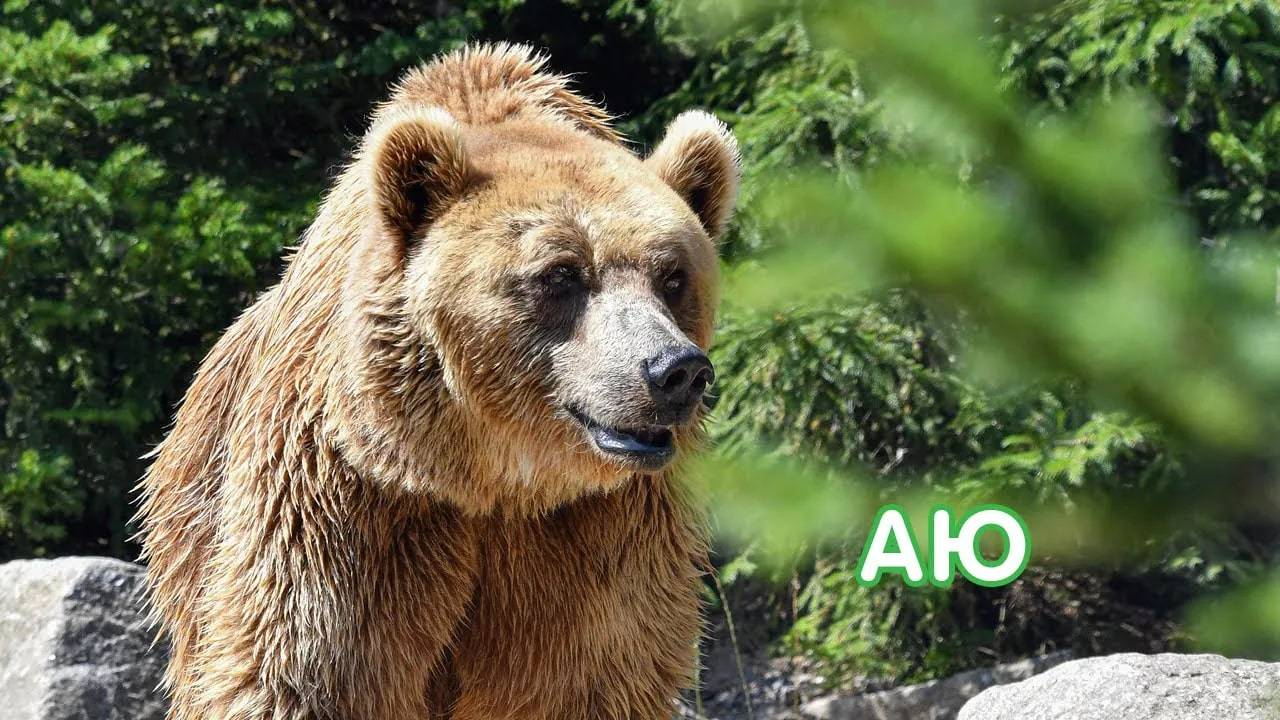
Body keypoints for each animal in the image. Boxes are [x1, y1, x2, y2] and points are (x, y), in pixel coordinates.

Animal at [136, 43, 739, 720]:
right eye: (561, 274)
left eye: (673, 276)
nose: (675, 370)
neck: (493, 478)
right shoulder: (347, 499)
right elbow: (306, 673)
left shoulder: (604, 529)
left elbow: (583, 680)